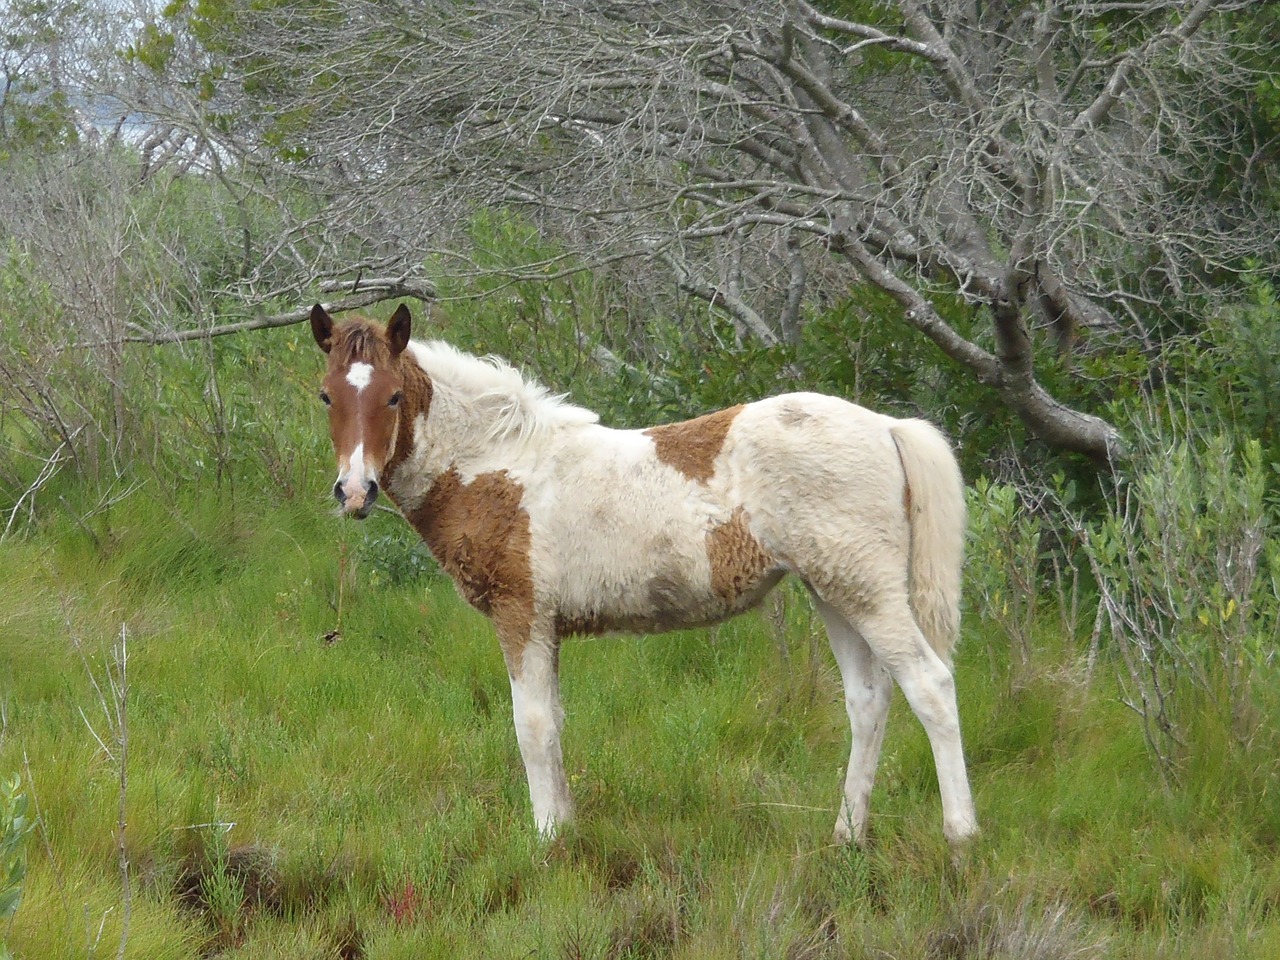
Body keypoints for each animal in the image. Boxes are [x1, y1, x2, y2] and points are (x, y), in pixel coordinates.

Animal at [309, 304, 977, 844]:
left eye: (393, 396)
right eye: (327, 396)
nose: (355, 492)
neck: (496, 465)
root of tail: (886, 426)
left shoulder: (521, 615)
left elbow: (530, 726)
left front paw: (547, 840)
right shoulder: (546, 627)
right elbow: (554, 723)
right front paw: (566, 826)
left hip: (867, 592)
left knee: (931, 685)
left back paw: (960, 836)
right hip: (832, 592)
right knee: (868, 701)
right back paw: (846, 836)